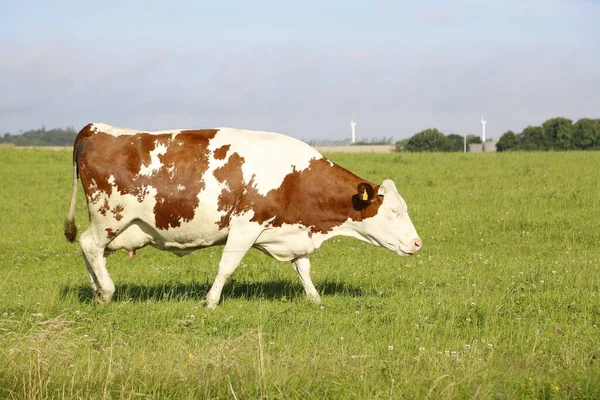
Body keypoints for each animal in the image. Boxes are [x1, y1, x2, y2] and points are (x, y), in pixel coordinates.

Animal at [64, 123, 422, 308]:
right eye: (394, 210)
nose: (418, 243)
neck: (294, 177)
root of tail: (95, 129)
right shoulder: (246, 224)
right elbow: (227, 266)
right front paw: (210, 302)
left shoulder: (293, 231)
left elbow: (303, 269)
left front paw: (316, 300)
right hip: (110, 216)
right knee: (90, 245)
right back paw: (107, 291)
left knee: (90, 249)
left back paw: (97, 290)